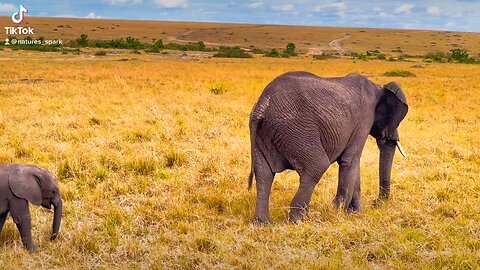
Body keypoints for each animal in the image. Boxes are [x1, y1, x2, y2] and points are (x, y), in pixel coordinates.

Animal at [248, 70, 408, 223]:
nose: (377, 202)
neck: (378, 87)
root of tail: (263, 105)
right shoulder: (364, 119)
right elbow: (350, 160)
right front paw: (338, 212)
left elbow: (353, 163)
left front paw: (355, 213)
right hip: (296, 130)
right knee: (317, 166)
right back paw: (299, 220)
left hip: (264, 133)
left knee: (263, 174)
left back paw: (262, 223)